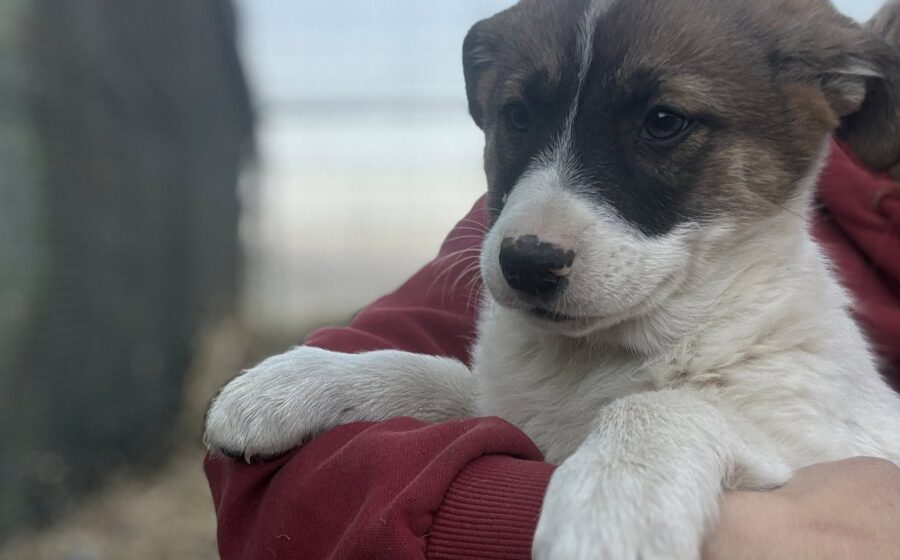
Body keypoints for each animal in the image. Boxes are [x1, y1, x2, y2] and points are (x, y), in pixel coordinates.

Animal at [205, 1, 900, 558]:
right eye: (516, 115)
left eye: (663, 121)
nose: (527, 262)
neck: (598, 360)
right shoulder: (517, 414)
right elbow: (434, 372)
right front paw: (293, 383)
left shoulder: (821, 444)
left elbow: (659, 407)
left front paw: (607, 513)